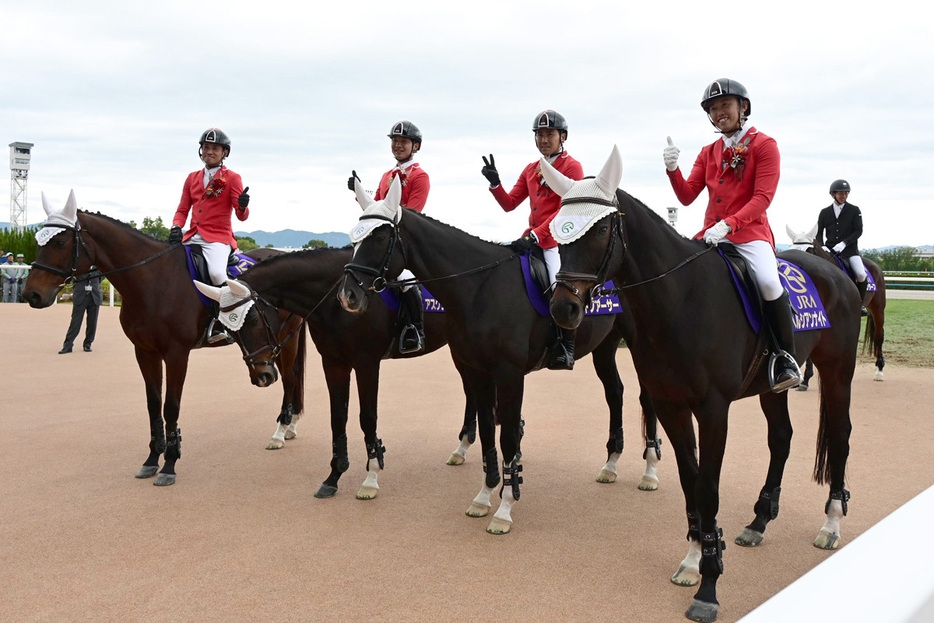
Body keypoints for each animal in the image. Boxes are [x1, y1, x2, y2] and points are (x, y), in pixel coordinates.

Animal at [22, 190, 308, 488]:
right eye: (38, 240)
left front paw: (169, 463)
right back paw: (290, 425)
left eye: (60, 242)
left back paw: (279, 432)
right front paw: (152, 459)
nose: (32, 294)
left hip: (285, 337)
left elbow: (171, 406)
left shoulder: (176, 354)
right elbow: (153, 405)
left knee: (290, 378)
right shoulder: (145, 352)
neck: (152, 280)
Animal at [193, 246, 478, 500]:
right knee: (471, 392)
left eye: (251, 319)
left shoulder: (366, 364)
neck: (334, 301)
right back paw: (462, 448)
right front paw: (334, 477)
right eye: (229, 329)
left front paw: (371, 478)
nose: (261, 376)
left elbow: (367, 418)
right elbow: (337, 418)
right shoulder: (334, 363)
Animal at [340, 178, 660, 532]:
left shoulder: (509, 374)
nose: (348, 295)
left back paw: (649, 471)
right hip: (605, 347)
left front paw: (505, 508)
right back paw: (611, 464)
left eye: (380, 237)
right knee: (615, 393)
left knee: (647, 399)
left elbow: (506, 437)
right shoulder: (479, 371)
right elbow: (486, 433)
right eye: (355, 237)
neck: (480, 286)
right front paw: (484, 496)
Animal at [548, 149, 864, 620]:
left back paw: (831, 522)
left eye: (601, 229)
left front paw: (708, 588)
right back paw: (759, 520)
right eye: (557, 230)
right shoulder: (670, 405)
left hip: (838, 370)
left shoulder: (714, 410)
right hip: (771, 388)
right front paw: (695, 558)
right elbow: (690, 483)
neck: (680, 298)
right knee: (781, 438)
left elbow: (709, 490)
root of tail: (834, 269)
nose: (563, 308)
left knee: (840, 437)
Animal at [788, 224, 888, 380]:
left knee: (879, 336)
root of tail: (875, 266)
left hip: (878, 308)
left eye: (809, 250)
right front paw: (807, 376)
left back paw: (879, 369)